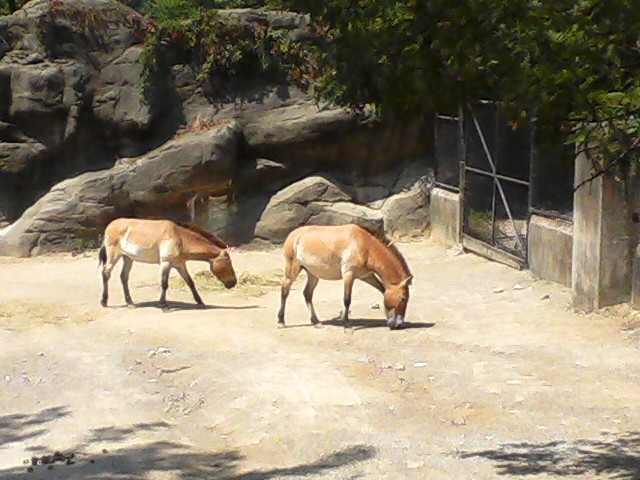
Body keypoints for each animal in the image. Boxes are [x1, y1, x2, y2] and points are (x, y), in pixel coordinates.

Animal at [98, 218, 237, 308]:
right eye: (229, 262)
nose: (233, 283)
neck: (180, 238)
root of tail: (108, 226)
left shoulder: (179, 265)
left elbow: (190, 282)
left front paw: (200, 302)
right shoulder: (165, 263)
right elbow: (164, 283)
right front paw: (163, 304)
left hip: (128, 258)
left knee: (123, 277)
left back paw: (130, 303)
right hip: (114, 256)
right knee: (106, 273)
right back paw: (104, 301)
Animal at [278, 224, 413, 330]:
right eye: (403, 298)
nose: (399, 324)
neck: (365, 246)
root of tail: (293, 235)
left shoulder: (366, 276)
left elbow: (383, 291)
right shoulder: (349, 274)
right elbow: (347, 299)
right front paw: (347, 324)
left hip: (313, 275)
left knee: (307, 294)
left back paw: (316, 322)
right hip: (293, 271)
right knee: (285, 290)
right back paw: (281, 322)